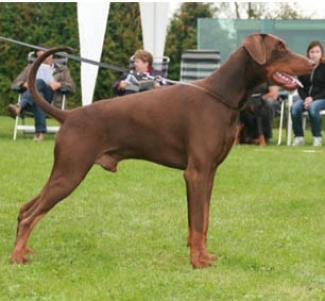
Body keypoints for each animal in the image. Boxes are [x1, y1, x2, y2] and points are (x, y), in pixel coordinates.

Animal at [10, 33, 314, 268]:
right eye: (279, 48)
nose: (312, 62)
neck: (222, 96)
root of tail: (70, 115)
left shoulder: (209, 173)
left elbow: (203, 221)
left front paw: (204, 256)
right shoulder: (196, 173)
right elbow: (197, 222)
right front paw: (197, 262)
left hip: (65, 172)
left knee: (26, 208)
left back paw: (24, 250)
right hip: (71, 172)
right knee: (30, 216)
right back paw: (16, 257)